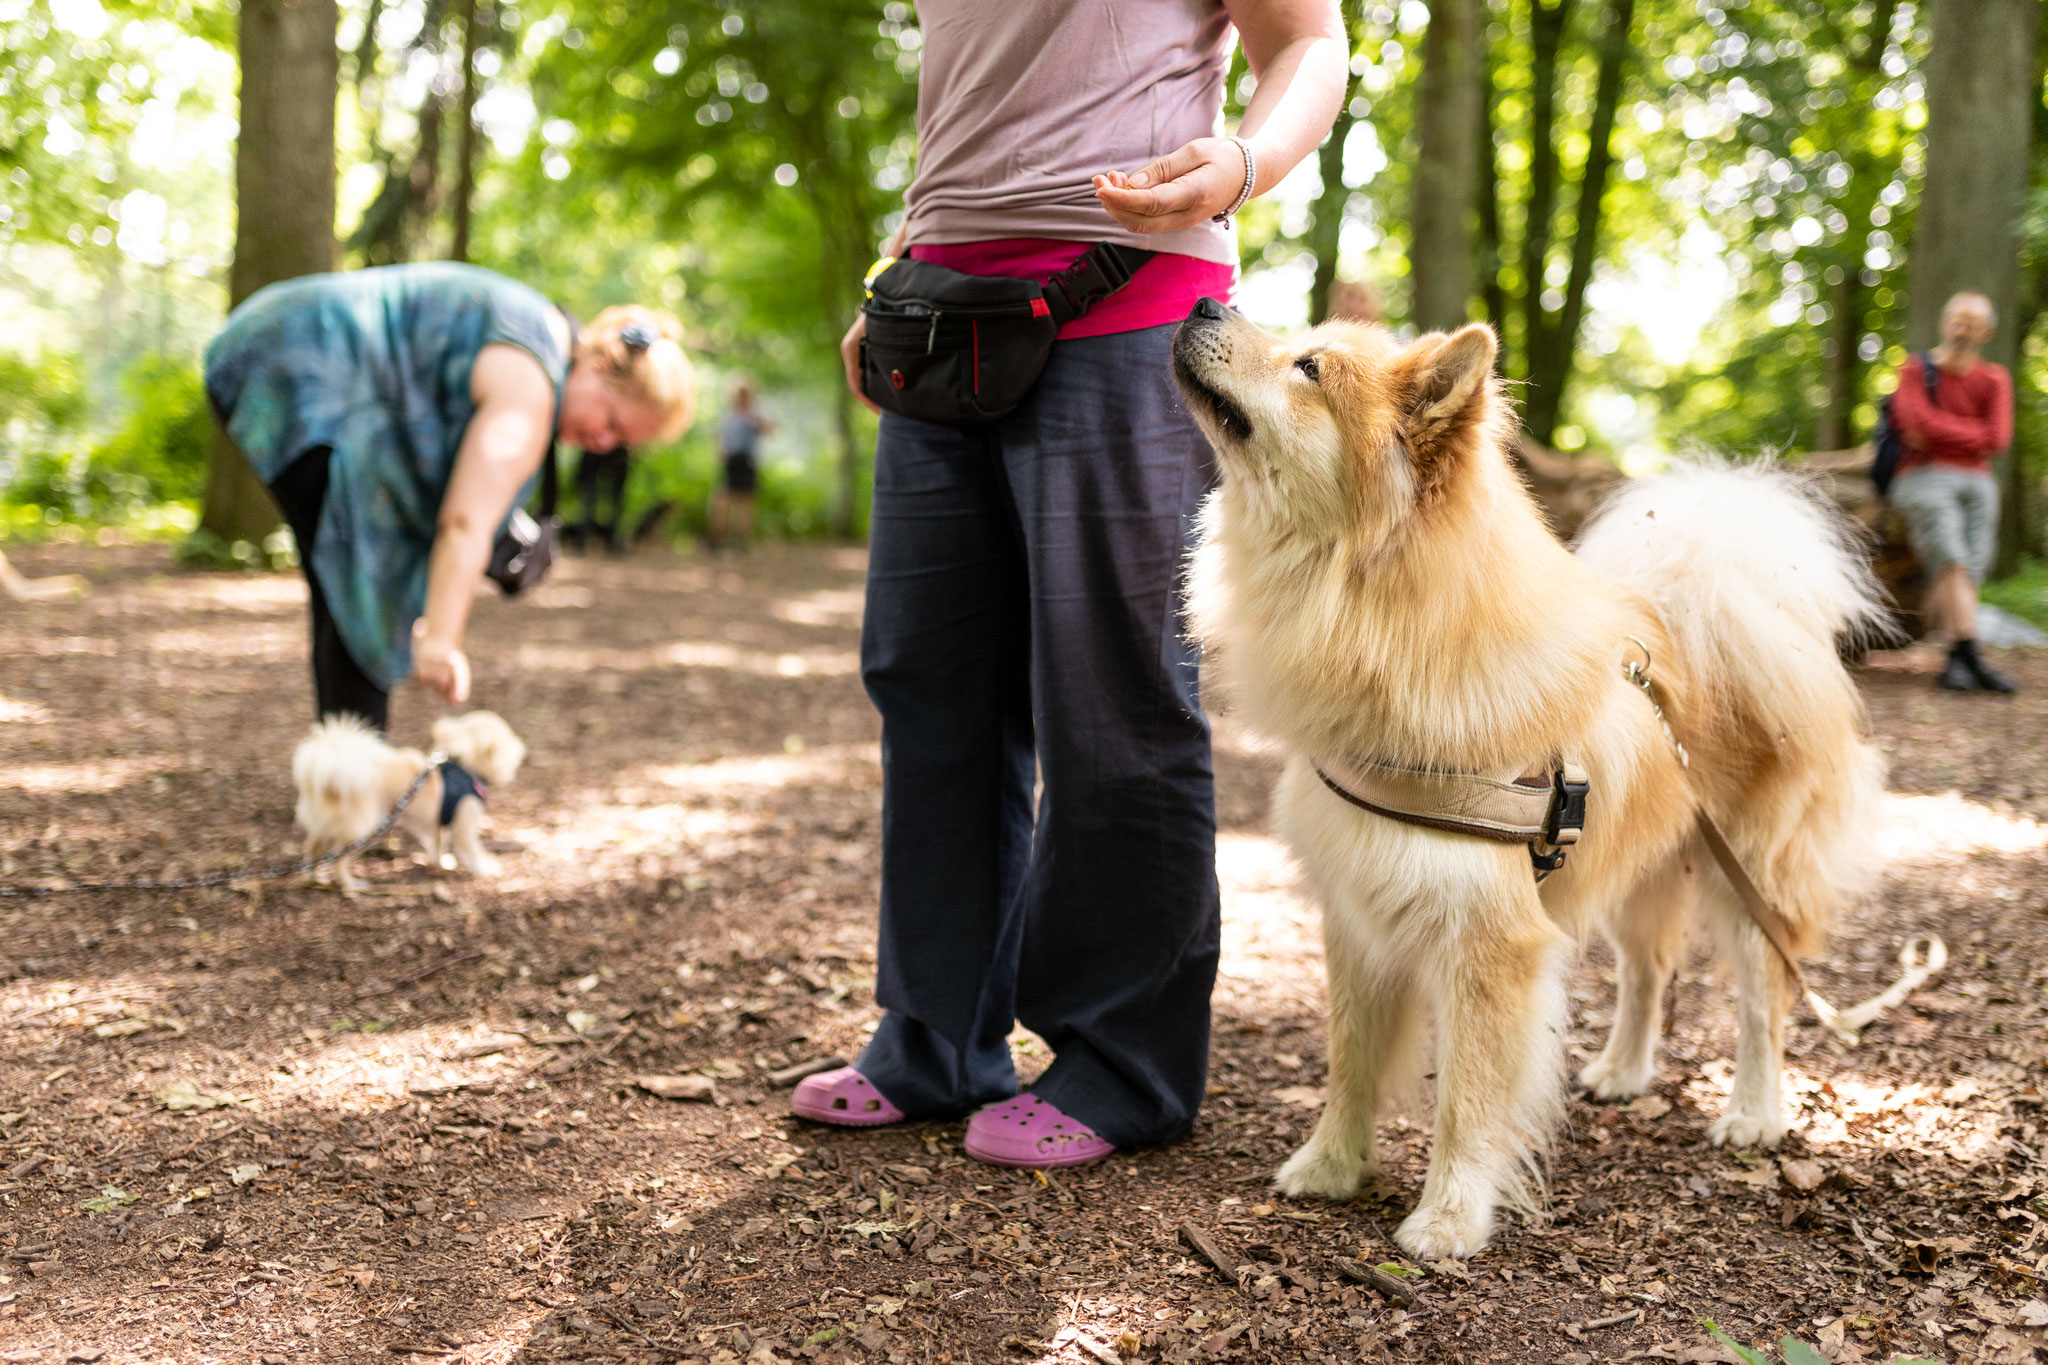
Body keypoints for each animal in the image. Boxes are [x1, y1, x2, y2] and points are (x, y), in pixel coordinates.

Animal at [292, 712, 528, 892]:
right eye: (507, 739)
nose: (519, 743)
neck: (463, 767)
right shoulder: (465, 828)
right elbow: (473, 852)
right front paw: (486, 868)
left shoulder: (436, 827)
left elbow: (436, 845)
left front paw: (440, 863)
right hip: (362, 830)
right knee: (339, 862)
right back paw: (351, 886)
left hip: (324, 828)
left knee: (312, 849)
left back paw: (312, 877)